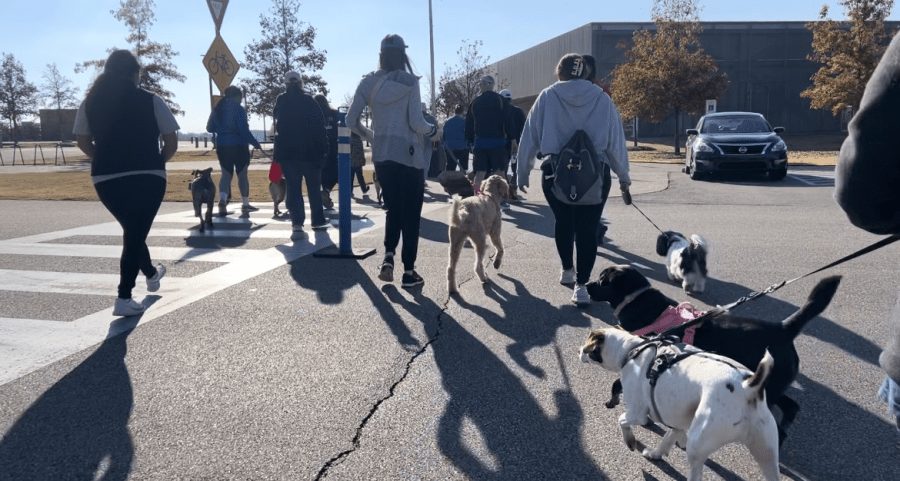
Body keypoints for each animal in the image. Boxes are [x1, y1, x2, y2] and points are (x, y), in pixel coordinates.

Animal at [584, 328, 780, 480]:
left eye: (588, 343)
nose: (580, 350)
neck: (633, 348)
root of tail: (748, 387)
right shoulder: (675, 420)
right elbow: (669, 437)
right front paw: (656, 454)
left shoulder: (637, 414)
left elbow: (622, 421)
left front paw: (630, 441)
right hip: (767, 456)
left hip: (697, 448)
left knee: (696, 475)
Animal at [588, 264, 840, 444]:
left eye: (602, 280)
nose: (587, 284)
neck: (638, 300)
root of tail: (783, 328)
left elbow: (617, 385)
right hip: (773, 385)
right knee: (791, 406)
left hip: (769, 387)